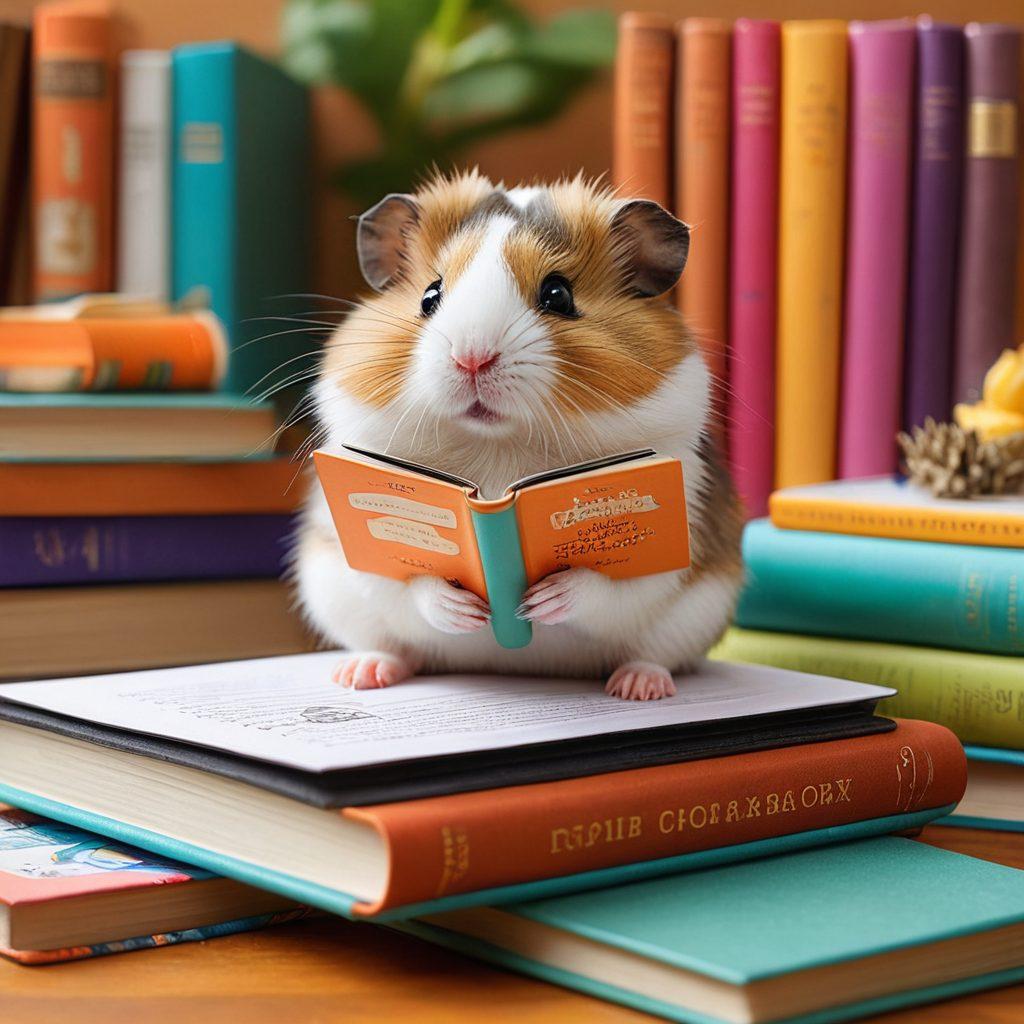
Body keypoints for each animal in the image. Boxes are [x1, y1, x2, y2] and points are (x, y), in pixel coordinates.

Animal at [294, 170, 744, 700]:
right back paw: (361, 675)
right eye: (429, 296)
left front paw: (539, 600)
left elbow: (606, 585)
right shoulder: (352, 547)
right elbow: (412, 582)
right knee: (394, 647)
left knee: (652, 656)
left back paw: (639, 687)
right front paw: (466, 610)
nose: (471, 358)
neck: (497, 446)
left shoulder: (678, 535)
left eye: (558, 295)